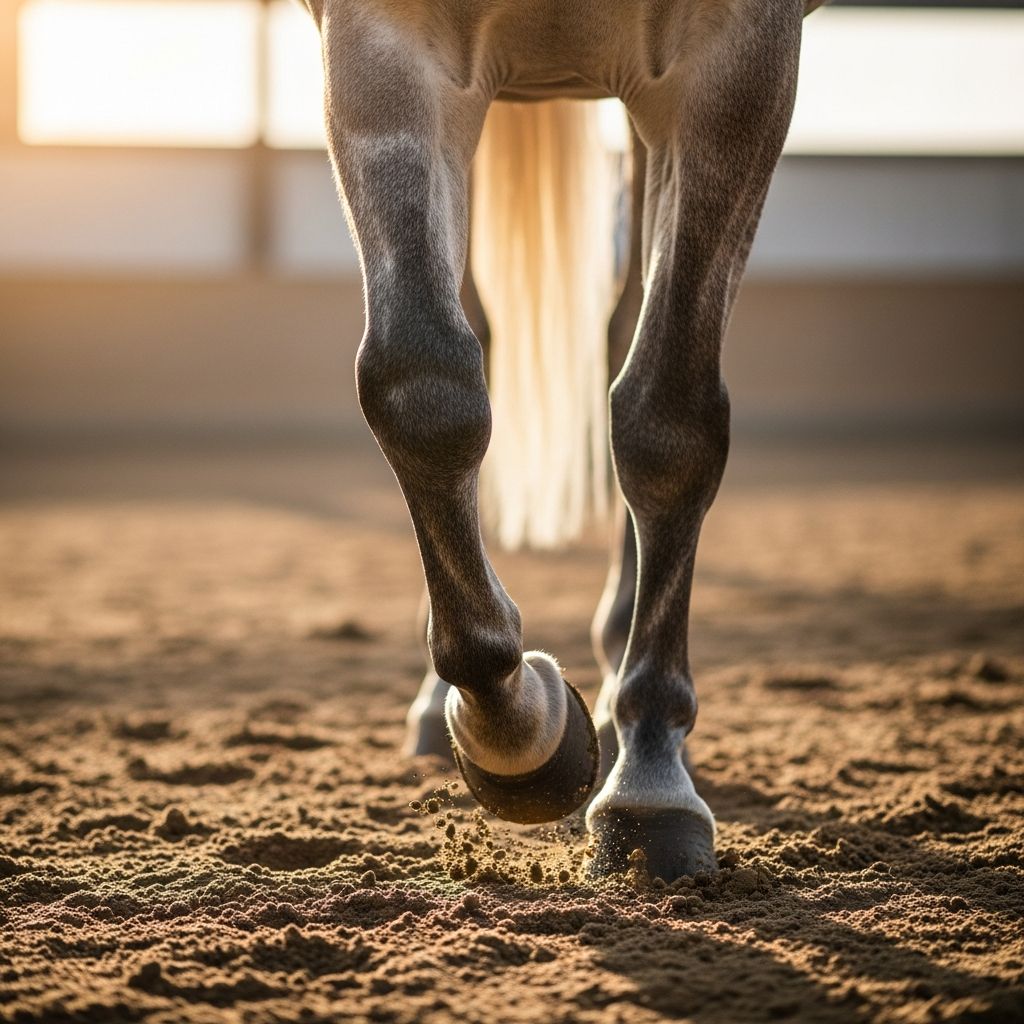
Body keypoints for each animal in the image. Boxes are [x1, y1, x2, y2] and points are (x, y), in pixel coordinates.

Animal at [300, 0, 821, 881]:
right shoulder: (380, 46)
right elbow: (423, 385)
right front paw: (518, 732)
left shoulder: (737, 66)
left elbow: (668, 420)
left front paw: (648, 781)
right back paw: (444, 708)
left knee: (627, 332)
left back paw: (620, 689)